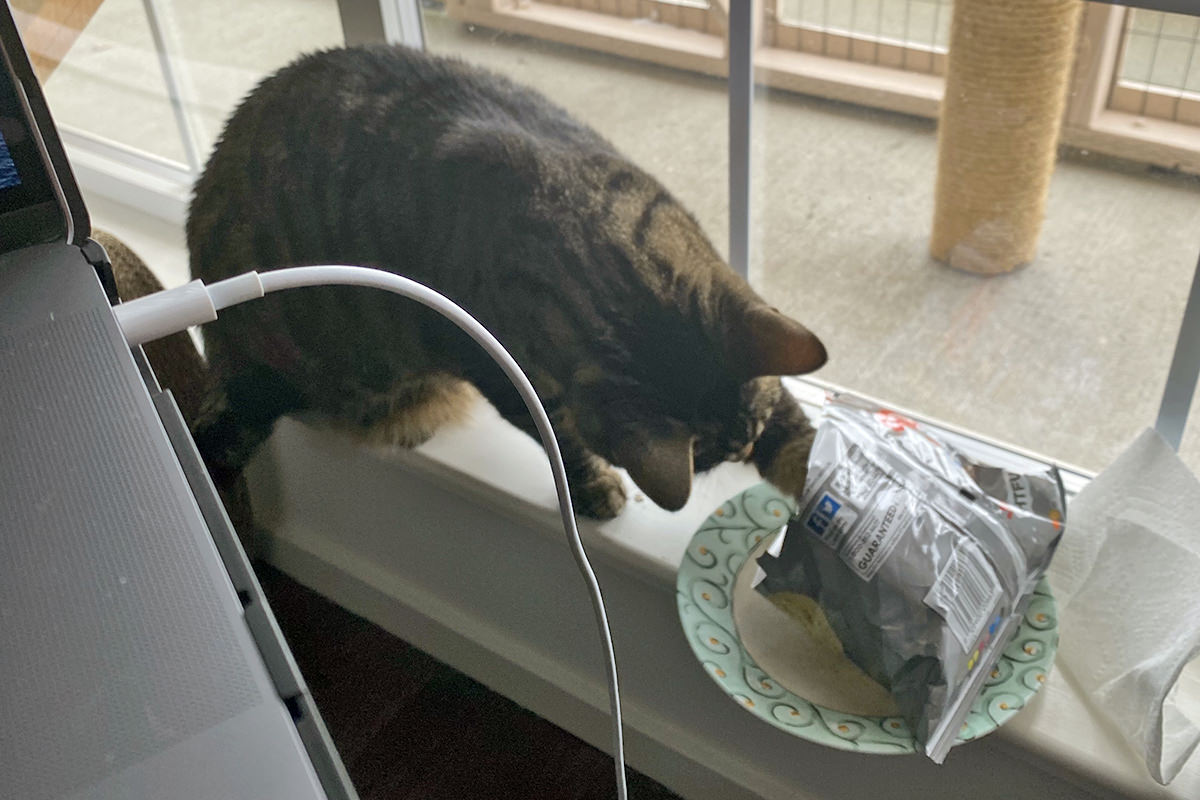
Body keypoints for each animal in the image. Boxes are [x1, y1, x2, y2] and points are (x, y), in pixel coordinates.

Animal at [189, 45, 825, 520]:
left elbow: (802, 442)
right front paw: (595, 486)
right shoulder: (494, 370)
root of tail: (225, 359)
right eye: (721, 456)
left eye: (755, 433)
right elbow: (562, 443)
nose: (746, 448)